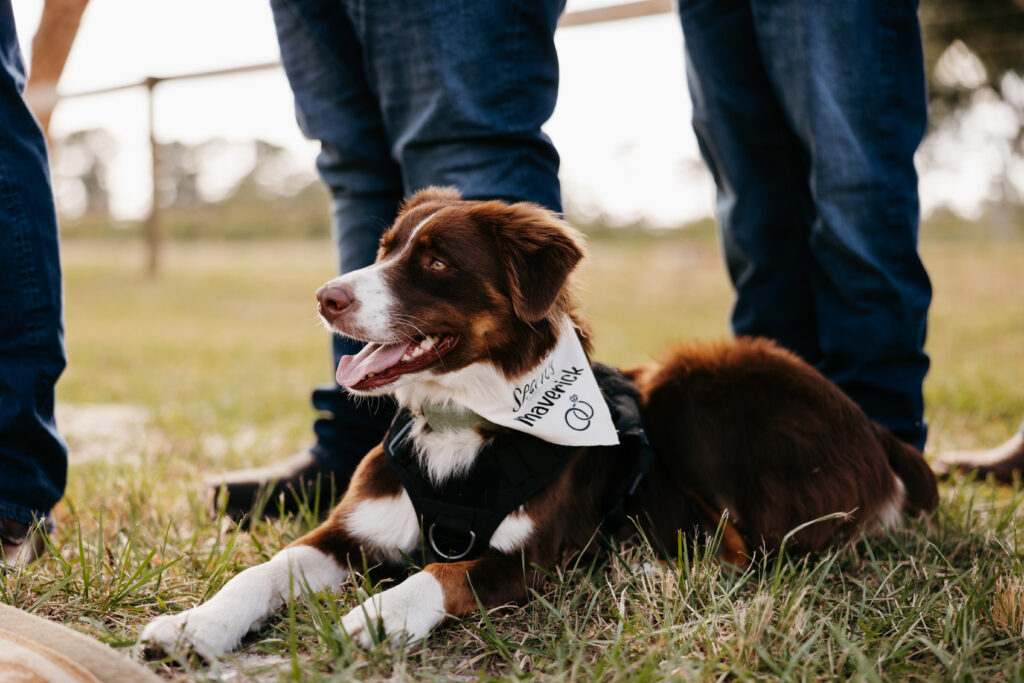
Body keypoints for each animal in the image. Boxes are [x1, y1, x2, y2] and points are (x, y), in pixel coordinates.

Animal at [142, 185, 937, 655]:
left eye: (435, 262)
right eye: (385, 249)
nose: (325, 296)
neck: (461, 420)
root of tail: (879, 432)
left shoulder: (537, 554)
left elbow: (442, 569)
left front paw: (378, 615)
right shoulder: (354, 530)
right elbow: (265, 567)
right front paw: (197, 622)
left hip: (694, 380)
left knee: (753, 545)